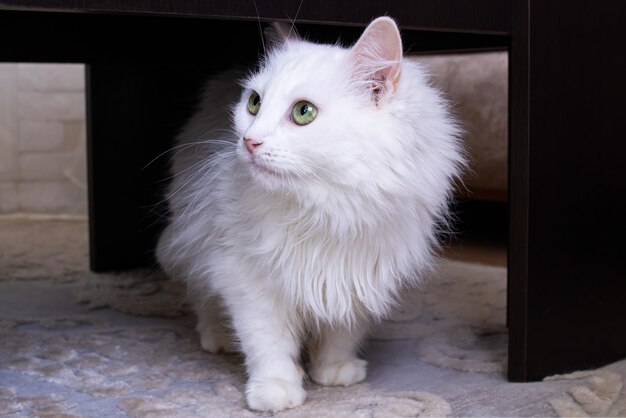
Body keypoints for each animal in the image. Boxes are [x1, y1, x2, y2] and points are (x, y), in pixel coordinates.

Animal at [156, 17, 464, 412]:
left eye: (304, 112)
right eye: (254, 103)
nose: (249, 141)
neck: (326, 210)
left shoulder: (358, 277)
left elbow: (343, 331)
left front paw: (335, 370)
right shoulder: (246, 278)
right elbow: (267, 342)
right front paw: (275, 390)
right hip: (194, 237)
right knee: (202, 295)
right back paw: (218, 336)